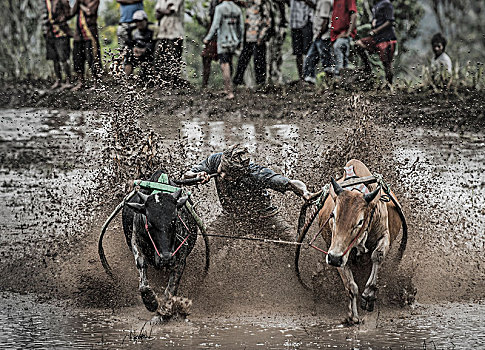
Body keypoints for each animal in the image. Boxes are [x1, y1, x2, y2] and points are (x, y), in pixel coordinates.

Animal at [318, 160, 404, 324]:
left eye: (360, 221)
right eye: (333, 215)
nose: (334, 258)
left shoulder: (384, 236)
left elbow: (377, 255)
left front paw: (369, 295)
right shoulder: (336, 251)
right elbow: (351, 286)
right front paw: (353, 316)